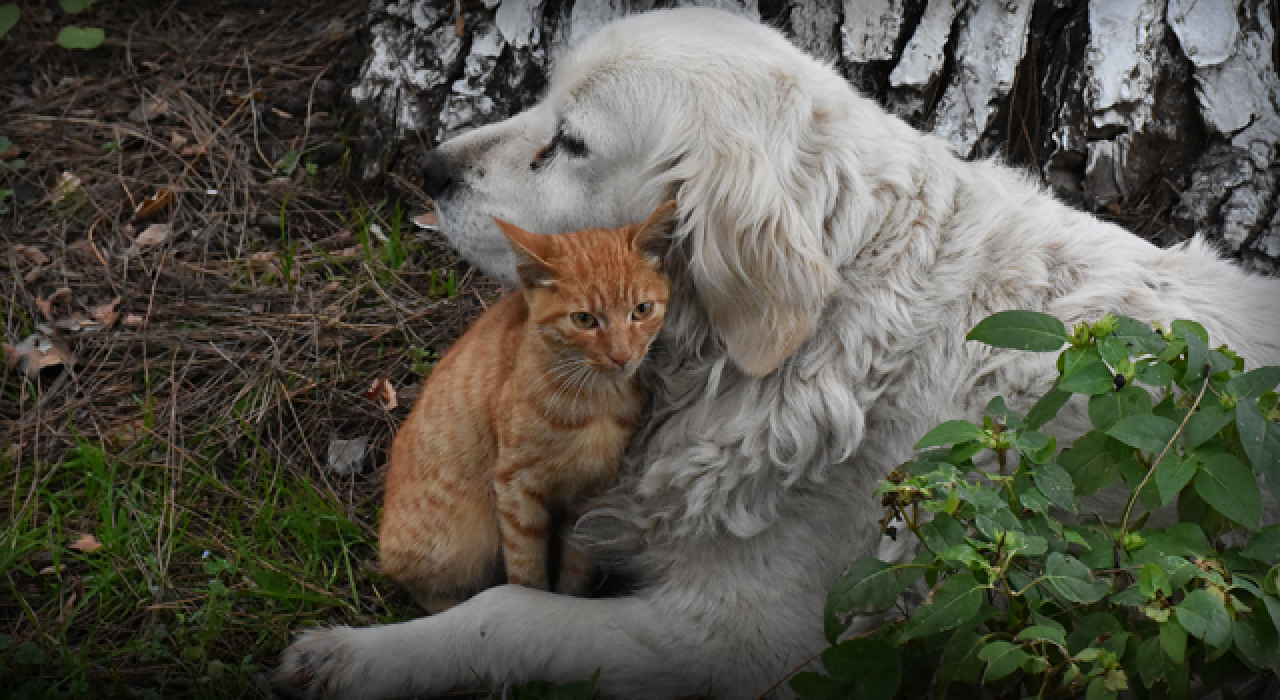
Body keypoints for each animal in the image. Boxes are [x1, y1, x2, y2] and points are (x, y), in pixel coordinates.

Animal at [378, 199, 680, 611]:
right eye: (584, 319)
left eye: (642, 310)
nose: (621, 356)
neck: (596, 400)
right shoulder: (515, 487)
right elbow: (525, 569)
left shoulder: (590, 493)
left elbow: (577, 565)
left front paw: (567, 602)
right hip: (460, 537)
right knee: (424, 587)